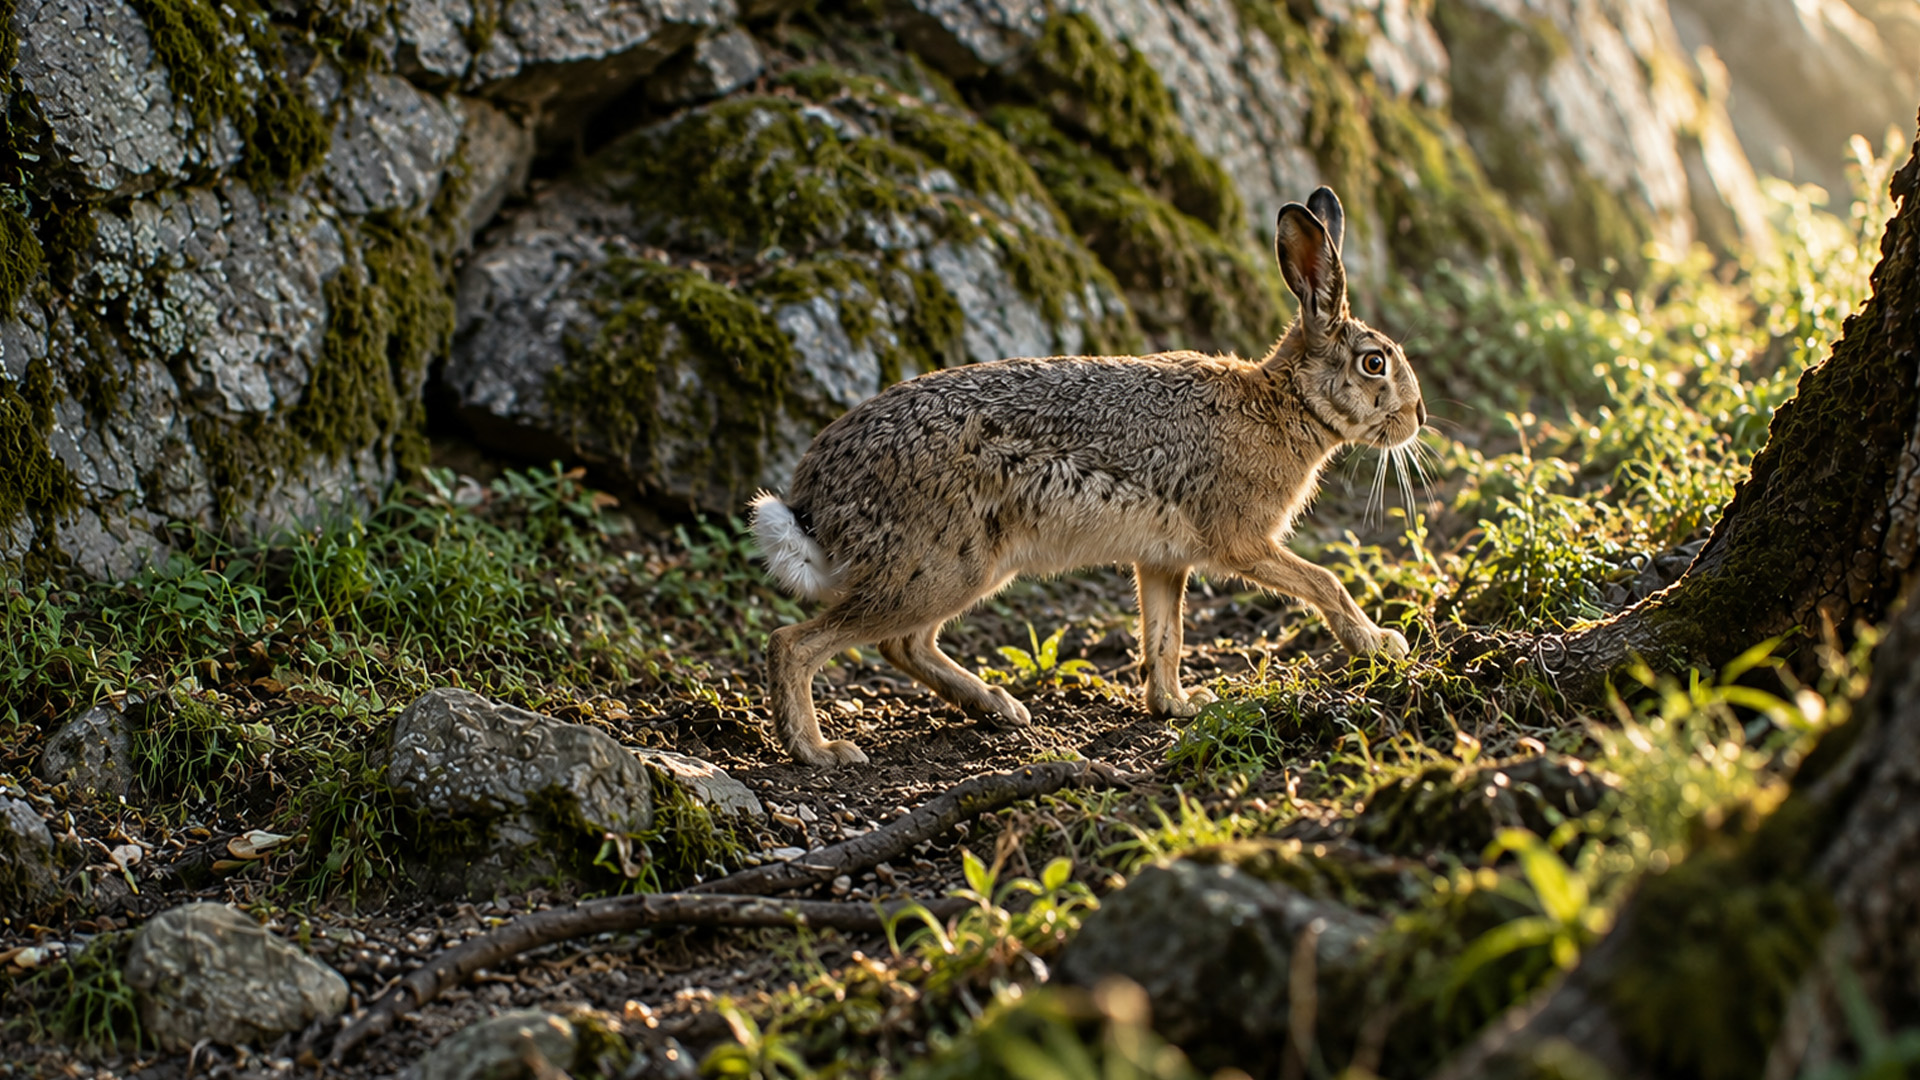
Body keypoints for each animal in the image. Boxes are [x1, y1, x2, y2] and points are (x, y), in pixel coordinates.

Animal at [749, 187, 1423, 767]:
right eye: (1374, 364)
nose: (1416, 418)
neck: (1286, 403)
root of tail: (814, 495)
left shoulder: (1162, 561)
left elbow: (1165, 635)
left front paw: (1177, 705)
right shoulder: (1241, 540)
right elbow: (1325, 581)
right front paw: (1379, 644)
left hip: (961, 568)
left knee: (904, 643)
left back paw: (999, 707)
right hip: (943, 565)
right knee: (796, 642)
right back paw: (818, 750)